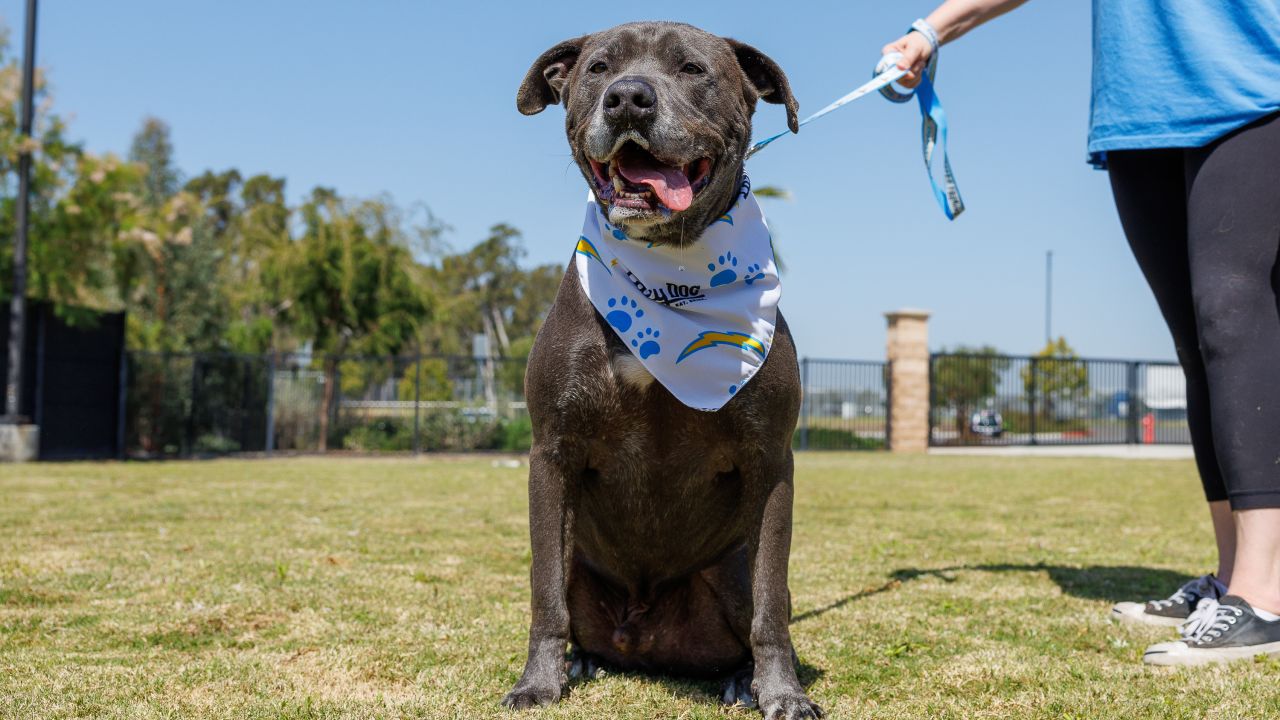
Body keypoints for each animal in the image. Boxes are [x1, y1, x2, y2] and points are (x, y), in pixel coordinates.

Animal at [501, 19, 814, 712]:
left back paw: (743, 680)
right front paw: (537, 682)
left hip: (727, 571)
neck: (668, 272)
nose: (628, 98)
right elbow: (543, 593)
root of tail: (642, 637)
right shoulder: (552, 452)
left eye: (693, 69)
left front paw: (783, 692)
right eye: (598, 68)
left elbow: (773, 604)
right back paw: (582, 661)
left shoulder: (770, 461)